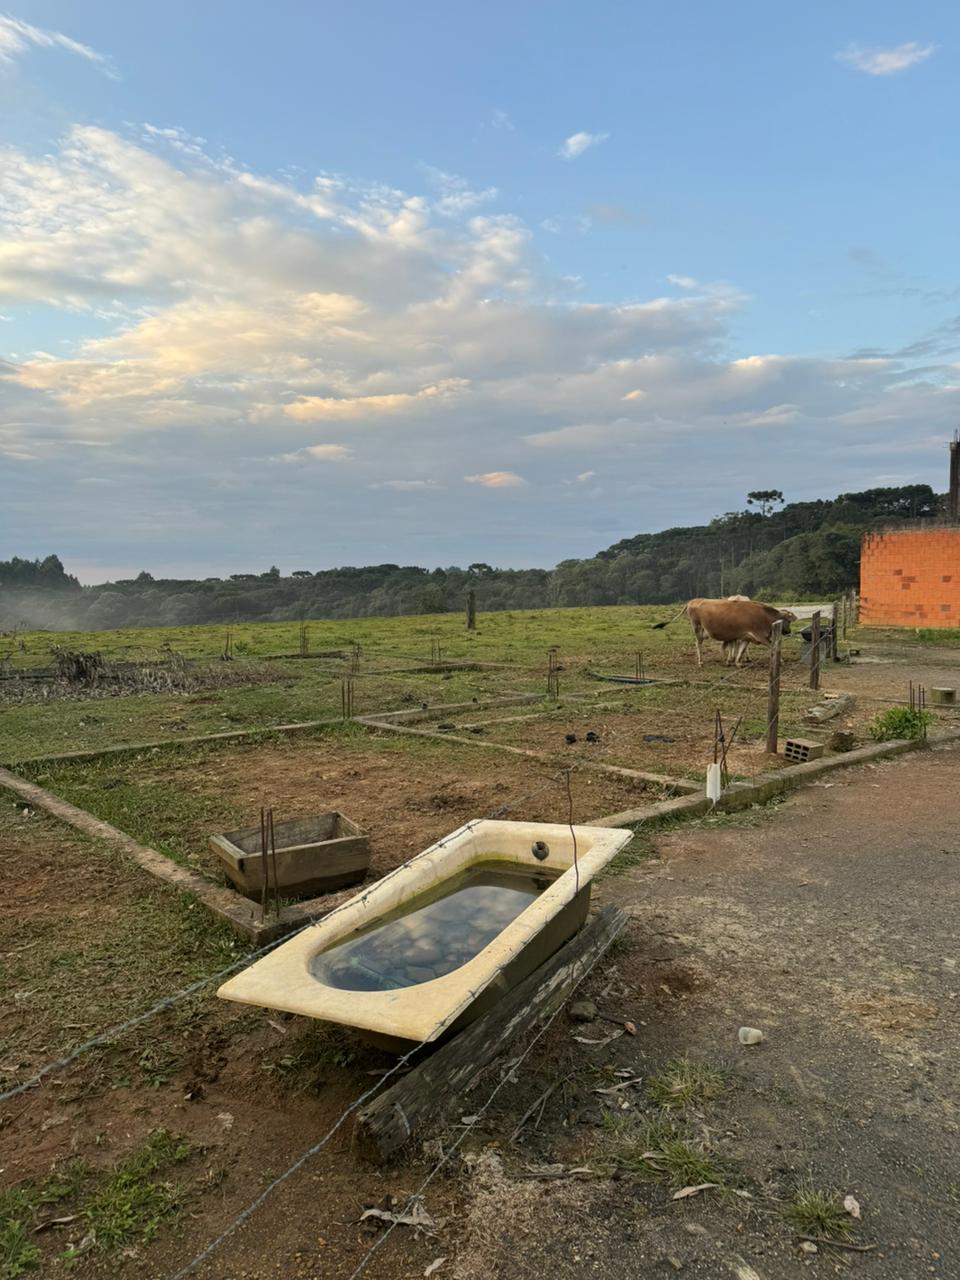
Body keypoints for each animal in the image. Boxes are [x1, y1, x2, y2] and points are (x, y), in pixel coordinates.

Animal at [650, 593, 798, 665]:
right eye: (788, 621)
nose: (789, 632)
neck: (764, 616)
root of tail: (693, 601)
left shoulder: (746, 637)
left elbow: (741, 650)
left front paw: (737, 662)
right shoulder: (760, 636)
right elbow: (774, 646)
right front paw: (781, 661)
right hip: (697, 628)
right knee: (698, 644)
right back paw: (700, 661)